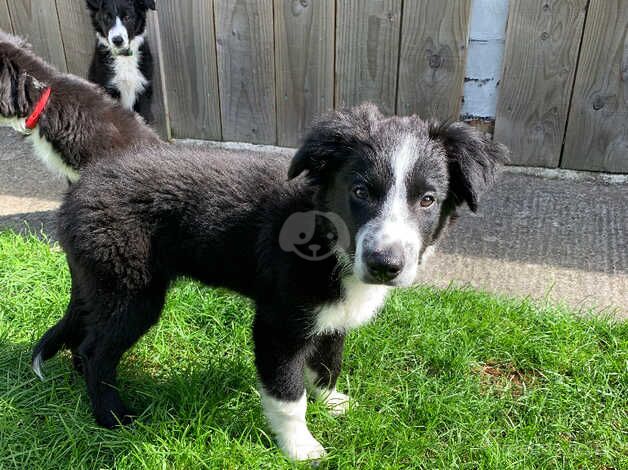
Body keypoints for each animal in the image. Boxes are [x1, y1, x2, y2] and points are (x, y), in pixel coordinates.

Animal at [0, 29, 508, 458]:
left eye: (427, 200)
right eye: (361, 192)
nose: (386, 264)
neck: (326, 239)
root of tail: (80, 189)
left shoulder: (331, 317)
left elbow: (328, 361)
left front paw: (333, 403)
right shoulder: (279, 324)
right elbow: (287, 394)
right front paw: (301, 448)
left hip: (101, 284)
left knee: (85, 340)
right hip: (130, 291)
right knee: (95, 351)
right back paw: (111, 416)